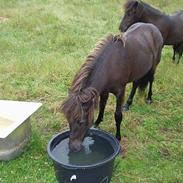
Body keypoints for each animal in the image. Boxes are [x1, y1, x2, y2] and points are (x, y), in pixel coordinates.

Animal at [61, 22, 163, 152]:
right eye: (68, 120)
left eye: (81, 121)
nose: (73, 147)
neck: (111, 65)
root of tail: (153, 27)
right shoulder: (104, 91)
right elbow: (102, 106)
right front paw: (97, 124)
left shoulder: (120, 92)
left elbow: (118, 115)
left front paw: (118, 137)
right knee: (136, 84)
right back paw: (128, 104)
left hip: (154, 66)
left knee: (151, 80)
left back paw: (149, 98)